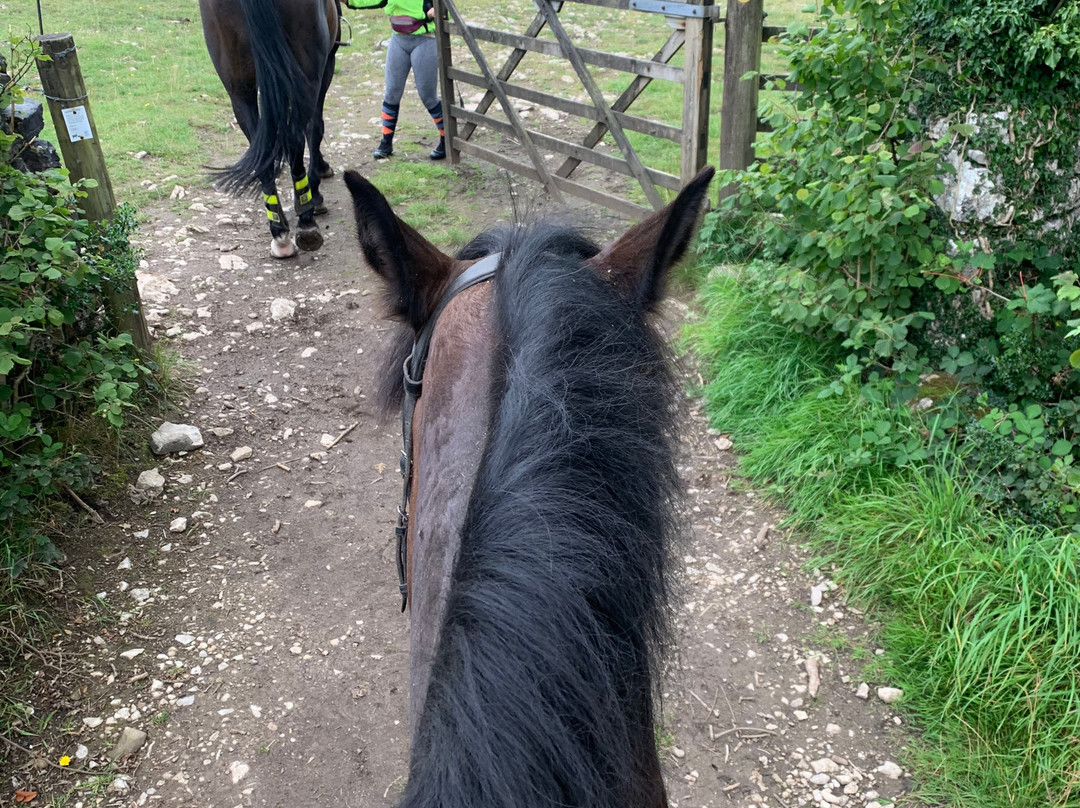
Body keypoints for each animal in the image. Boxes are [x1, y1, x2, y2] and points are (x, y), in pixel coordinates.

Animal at [198, 0, 339, 256]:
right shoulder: (327, 66)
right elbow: (315, 129)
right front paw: (317, 188)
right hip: (308, 73)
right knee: (297, 137)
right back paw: (306, 220)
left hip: (238, 87)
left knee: (261, 148)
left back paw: (279, 229)